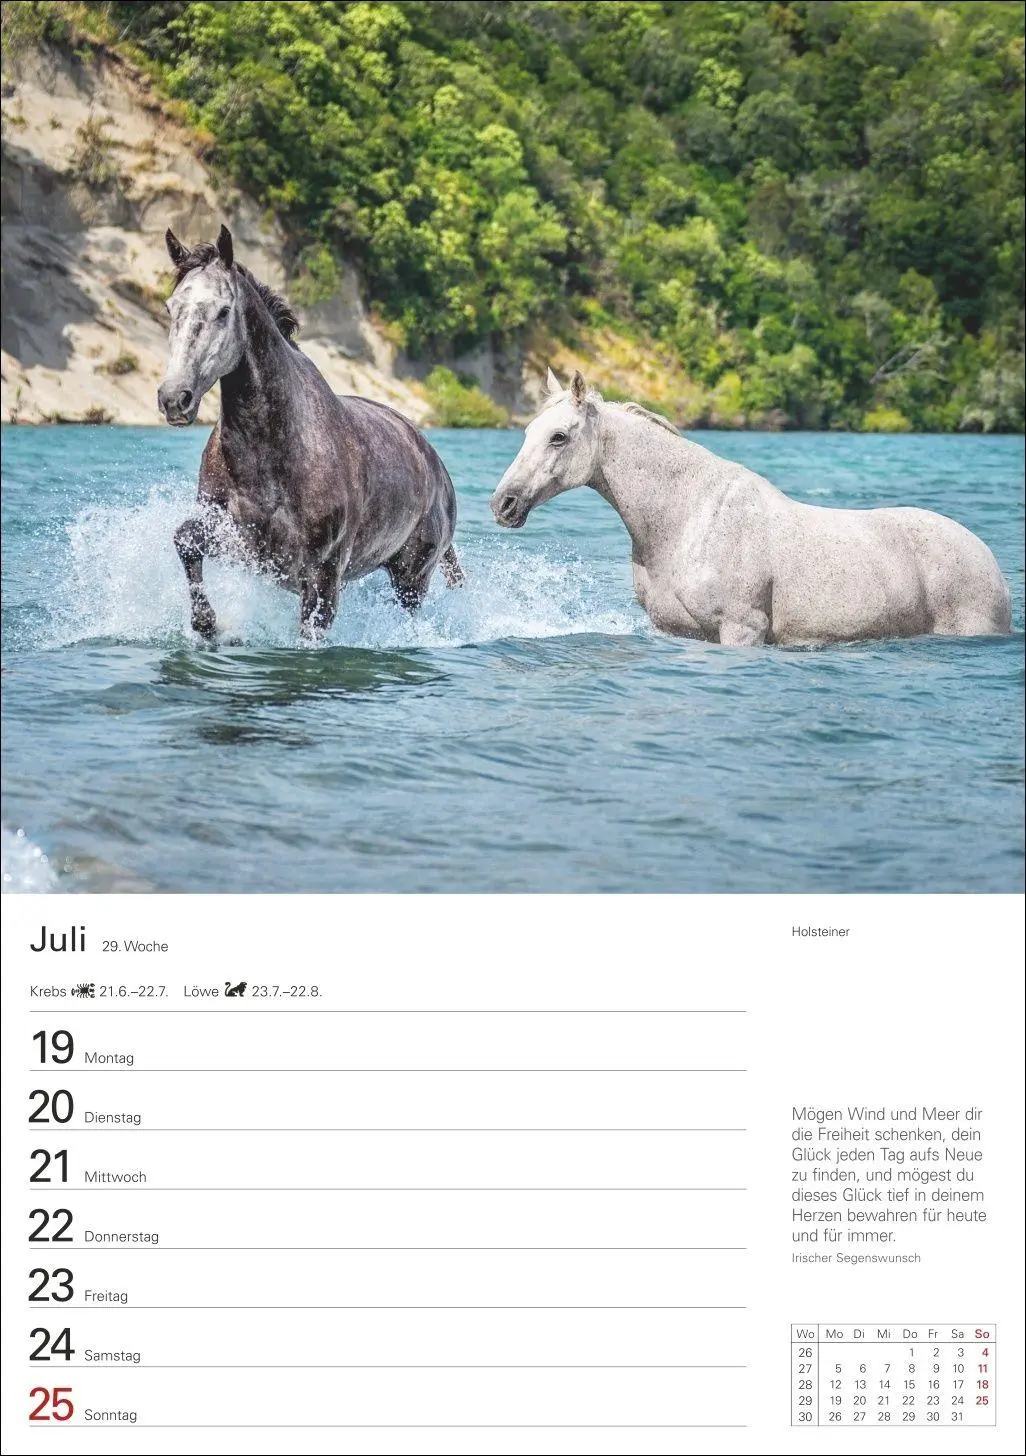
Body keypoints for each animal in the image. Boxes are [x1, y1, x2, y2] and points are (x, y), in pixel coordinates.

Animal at [158, 225, 463, 639]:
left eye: (223, 311)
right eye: (170, 307)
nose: (175, 398)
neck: (271, 454)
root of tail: (438, 470)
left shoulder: (322, 575)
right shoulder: (237, 542)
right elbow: (186, 540)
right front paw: (206, 624)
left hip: (412, 578)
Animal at [491, 370, 1012, 646]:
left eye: (559, 436)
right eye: (528, 431)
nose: (504, 503)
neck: (687, 521)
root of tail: (985, 557)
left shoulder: (741, 629)